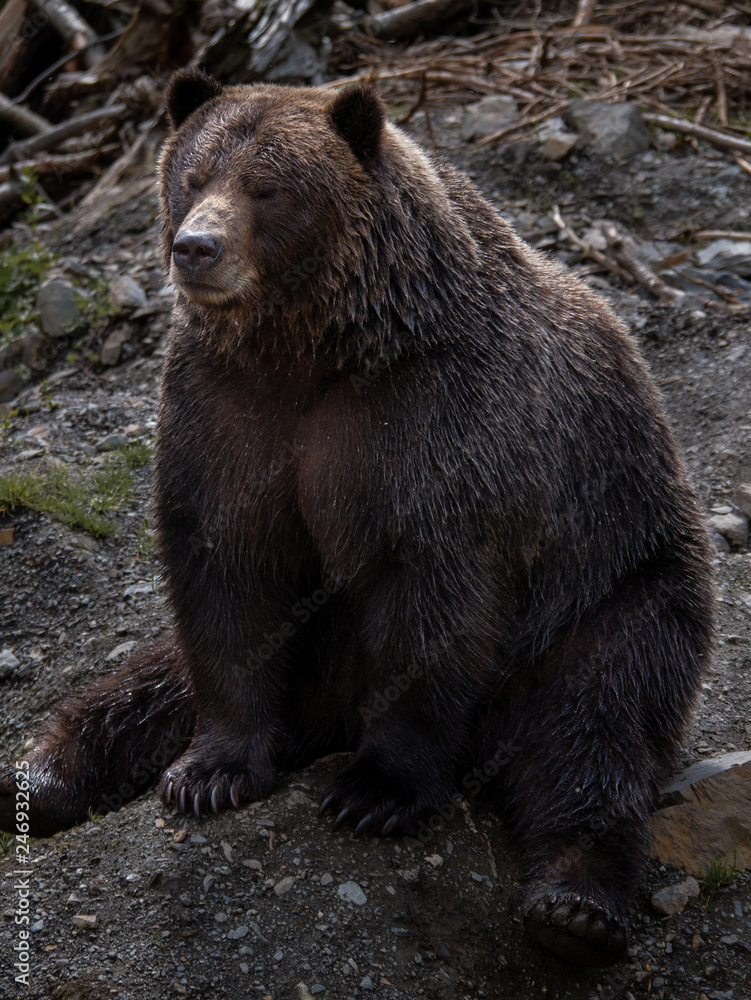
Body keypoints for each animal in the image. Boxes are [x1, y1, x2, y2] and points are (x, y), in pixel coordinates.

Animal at [0, 68, 715, 969]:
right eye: (191, 177)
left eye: (266, 186)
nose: (195, 248)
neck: (314, 343)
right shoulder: (224, 408)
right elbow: (225, 584)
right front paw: (209, 772)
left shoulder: (432, 425)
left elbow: (430, 600)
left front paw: (375, 790)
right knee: (138, 685)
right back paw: (41, 773)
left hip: (616, 589)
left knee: (595, 728)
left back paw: (574, 908)